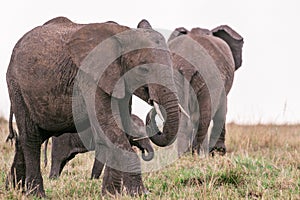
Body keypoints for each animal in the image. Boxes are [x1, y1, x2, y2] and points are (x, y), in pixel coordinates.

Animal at [6, 16, 180, 197]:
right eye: (144, 69)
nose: (153, 110)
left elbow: (120, 128)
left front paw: (111, 194)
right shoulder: (90, 78)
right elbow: (109, 127)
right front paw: (139, 194)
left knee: (27, 139)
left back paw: (14, 189)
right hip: (17, 87)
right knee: (31, 139)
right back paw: (36, 194)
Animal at [148, 25, 244, 156]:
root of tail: (187, 65)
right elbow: (222, 111)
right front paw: (218, 152)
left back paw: (185, 155)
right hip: (209, 79)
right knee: (204, 117)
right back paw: (195, 154)